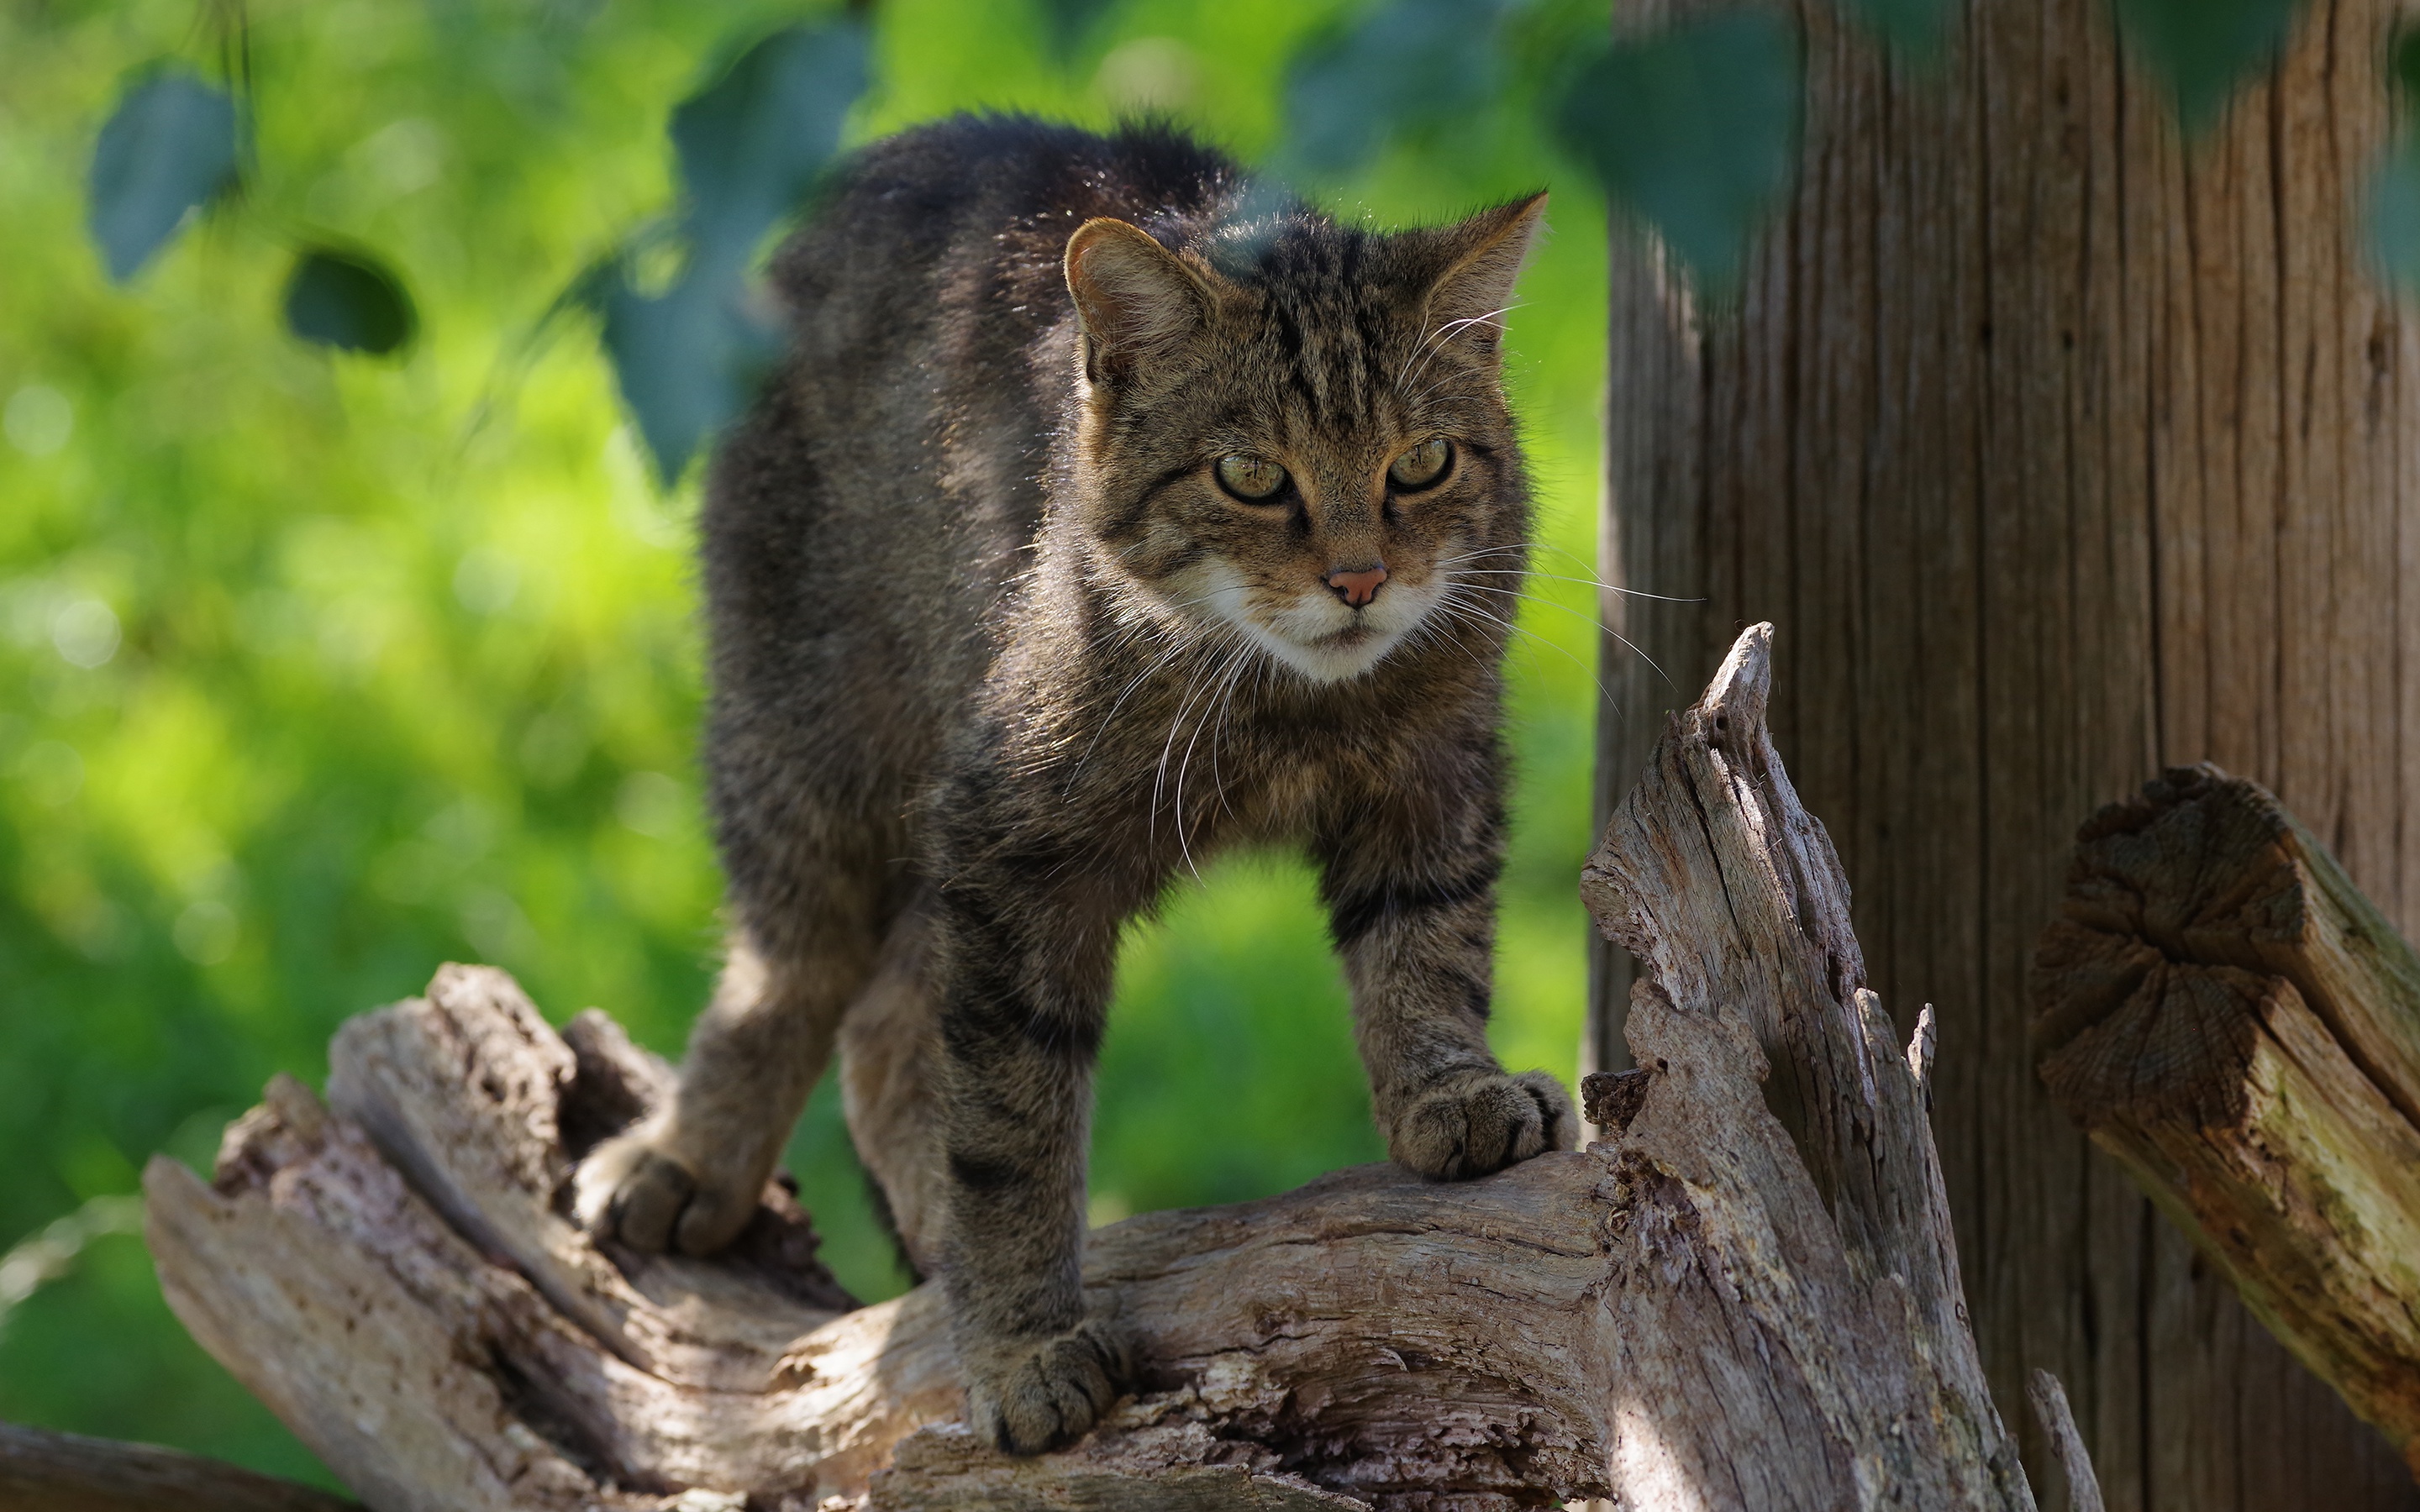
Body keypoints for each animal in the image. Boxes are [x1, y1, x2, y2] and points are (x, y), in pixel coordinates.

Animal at [576, 114, 1577, 1452]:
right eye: (1251, 476)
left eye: (1420, 463)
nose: (1362, 581)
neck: (1283, 705)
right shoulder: (1007, 848)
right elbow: (1013, 1124)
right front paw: (1020, 1343)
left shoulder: (1439, 771)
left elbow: (1428, 946)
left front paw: (1450, 1089)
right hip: (810, 752)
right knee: (793, 977)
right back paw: (695, 1156)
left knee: (887, 1023)